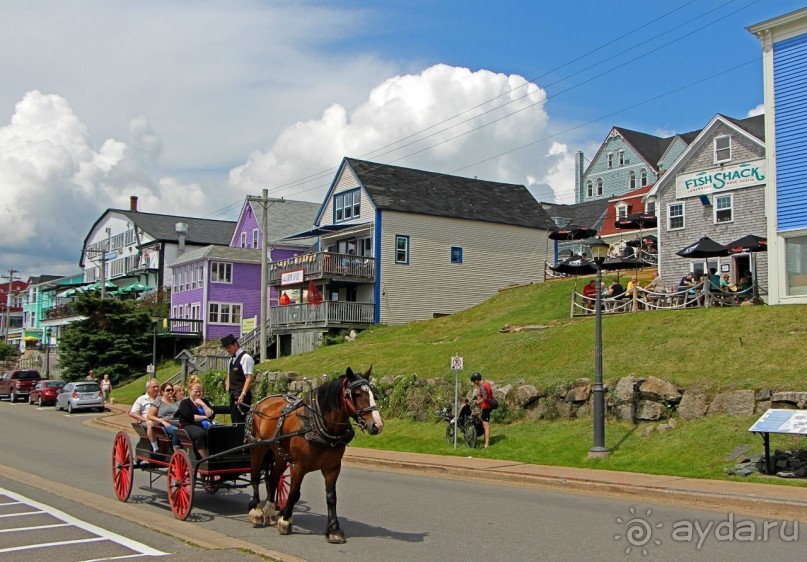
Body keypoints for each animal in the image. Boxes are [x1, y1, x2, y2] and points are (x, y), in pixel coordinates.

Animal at [246, 366, 386, 540]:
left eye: (373, 393)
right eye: (357, 394)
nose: (377, 425)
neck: (318, 425)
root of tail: (262, 402)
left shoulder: (333, 468)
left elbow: (331, 497)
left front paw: (334, 529)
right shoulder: (300, 466)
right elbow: (294, 493)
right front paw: (285, 520)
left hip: (280, 454)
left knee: (273, 479)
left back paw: (270, 510)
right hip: (258, 448)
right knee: (255, 476)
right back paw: (257, 510)